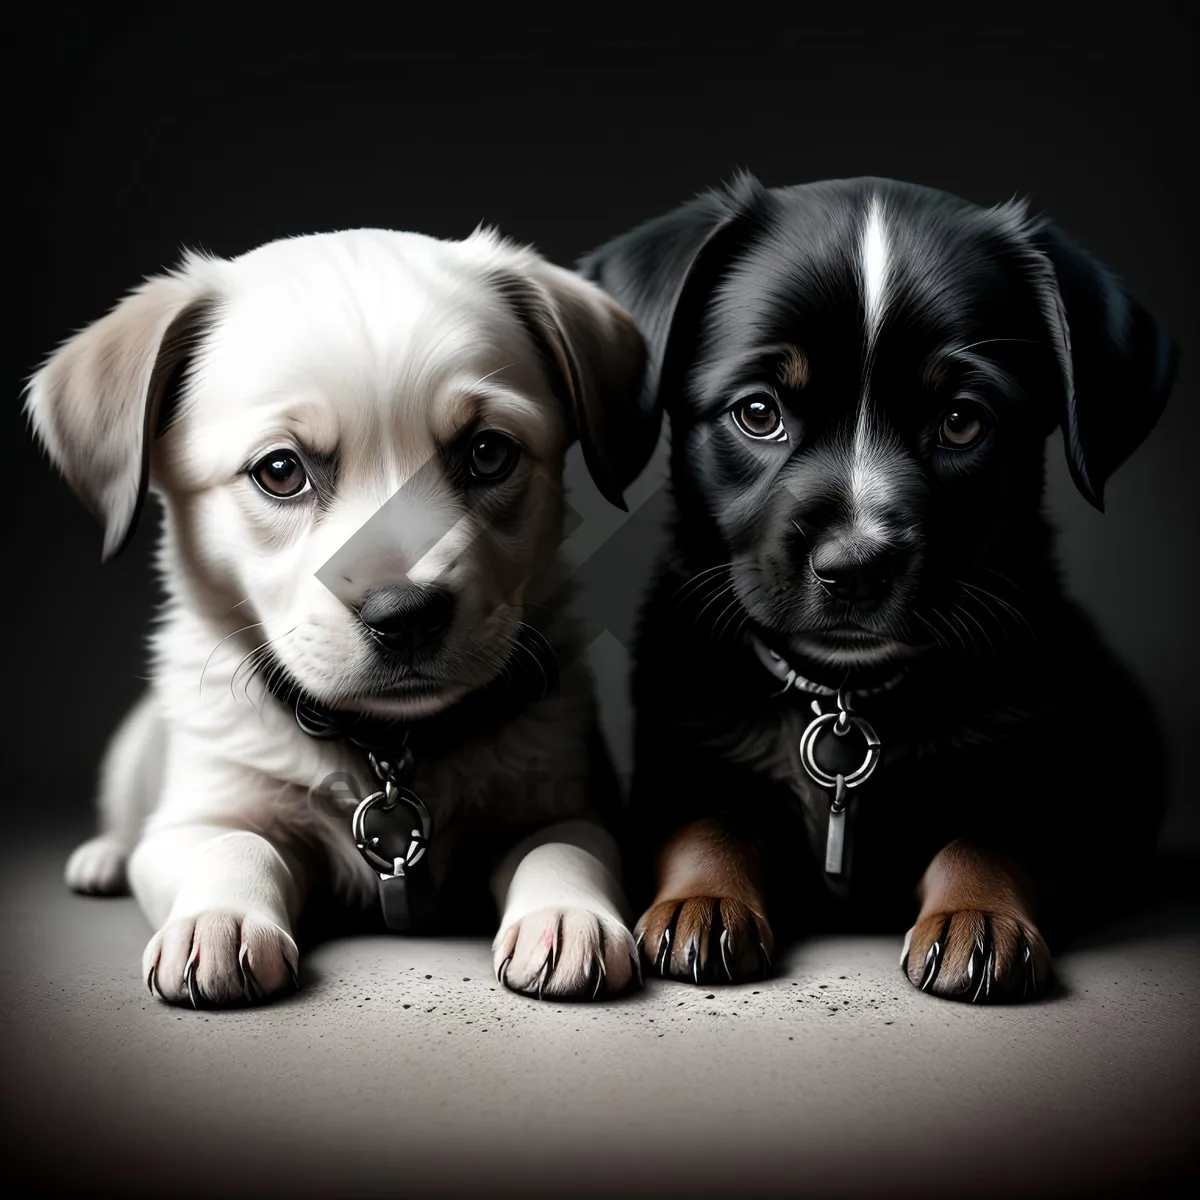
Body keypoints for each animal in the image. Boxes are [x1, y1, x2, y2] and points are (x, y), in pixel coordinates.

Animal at [21, 225, 657, 1003]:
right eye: (280, 471)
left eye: (488, 453)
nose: (406, 615)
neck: (387, 746)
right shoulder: (197, 811)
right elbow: (233, 841)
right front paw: (218, 920)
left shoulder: (567, 798)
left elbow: (563, 847)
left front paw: (565, 915)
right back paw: (102, 857)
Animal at [576, 175, 1176, 1003]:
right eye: (757, 412)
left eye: (962, 422)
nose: (856, 567)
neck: (846, 697)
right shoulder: (685, 757)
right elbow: (711, 823)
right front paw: (703, 901)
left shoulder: (1037, 773)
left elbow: (989, 835)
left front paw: (978, 918)